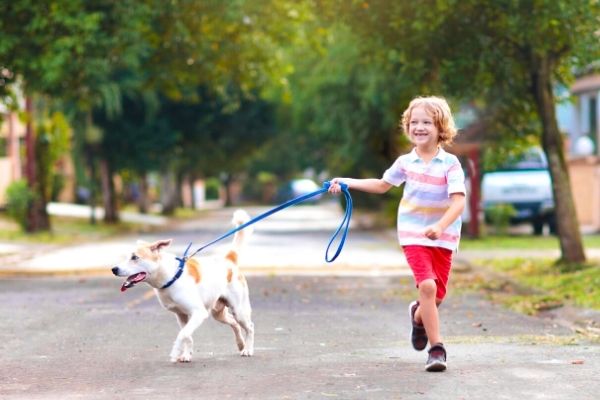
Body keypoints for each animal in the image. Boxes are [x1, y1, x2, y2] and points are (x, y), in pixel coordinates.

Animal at [111, 209, 254, 362]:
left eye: (135, 257)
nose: (114, 269)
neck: (171, 277)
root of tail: (229, 259)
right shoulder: (181, 316)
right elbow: (187, 335)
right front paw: (186, 354)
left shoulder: (198, 313)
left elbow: (183, 334)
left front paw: (175, 352)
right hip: (218, 313)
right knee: (234, 324)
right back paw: (240, 344)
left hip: (239, 310)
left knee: (249, 327)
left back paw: (248, 349)